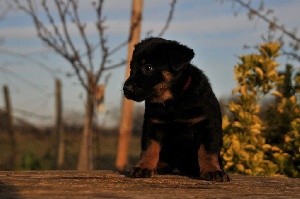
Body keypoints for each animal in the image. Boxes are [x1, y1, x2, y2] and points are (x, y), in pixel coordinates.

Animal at [123, 37, 230, 182]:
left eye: (148, 67)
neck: (173, 101)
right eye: (131, 67)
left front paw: (212, 170)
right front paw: (143, 167)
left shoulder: (208, 124)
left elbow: (207, 150)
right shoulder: (152, 125)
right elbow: (149, 148)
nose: (126, 89)